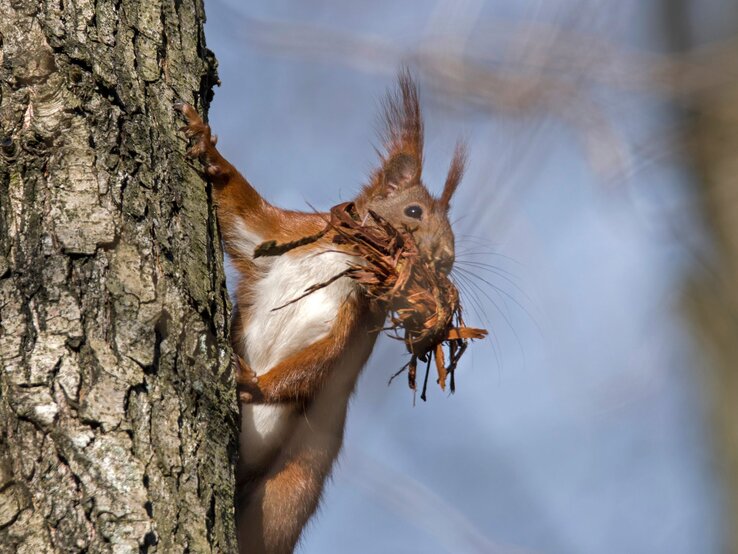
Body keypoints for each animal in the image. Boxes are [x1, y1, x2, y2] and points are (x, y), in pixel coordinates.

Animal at [177, 71, 466, 548]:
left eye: (452, 243)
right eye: (413, 210)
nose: (444, 260)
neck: (344, 258)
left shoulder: (355, 320)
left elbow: (323, 360)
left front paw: (252, 383)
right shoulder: (280, 235)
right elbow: (239, 208)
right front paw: (206, 145)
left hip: (287, 492)